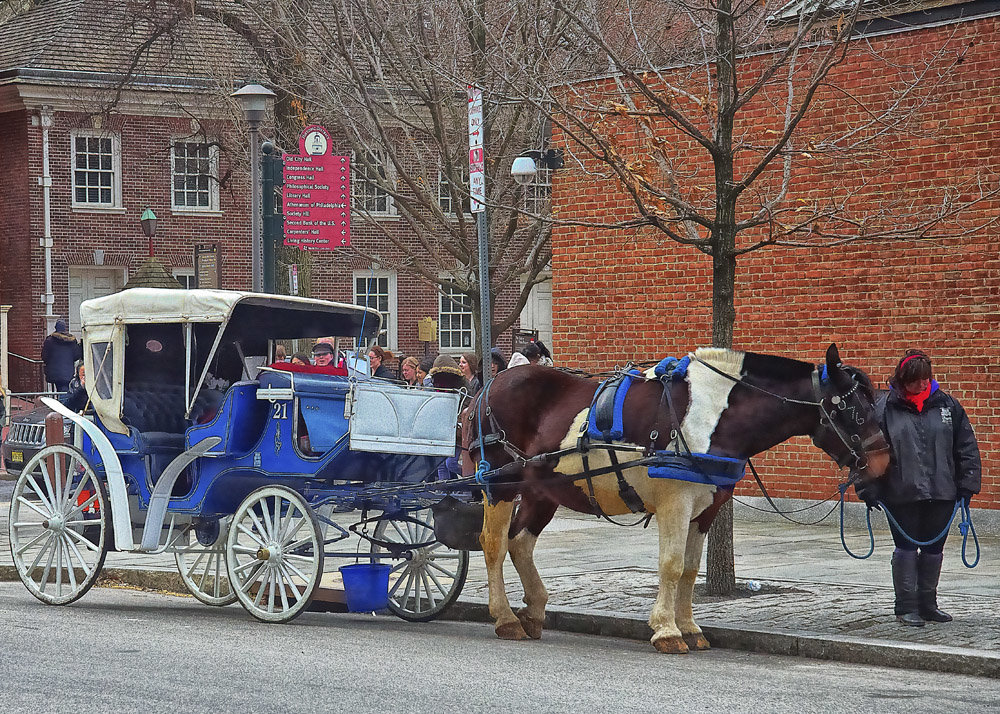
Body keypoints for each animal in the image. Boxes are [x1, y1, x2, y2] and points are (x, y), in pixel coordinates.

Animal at [468, 344, 892, 652]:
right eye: (852, 408)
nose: (883, 462)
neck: (712, 415)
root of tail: (489, 387)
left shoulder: (706, 508)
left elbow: (690, 569)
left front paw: (689, 627)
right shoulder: (676, 502)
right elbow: (671, 565)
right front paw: (667, 630)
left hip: (544, 489)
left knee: (520, 543)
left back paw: (534, 611)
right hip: (500, 484)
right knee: (493, 545)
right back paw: (505, 617)